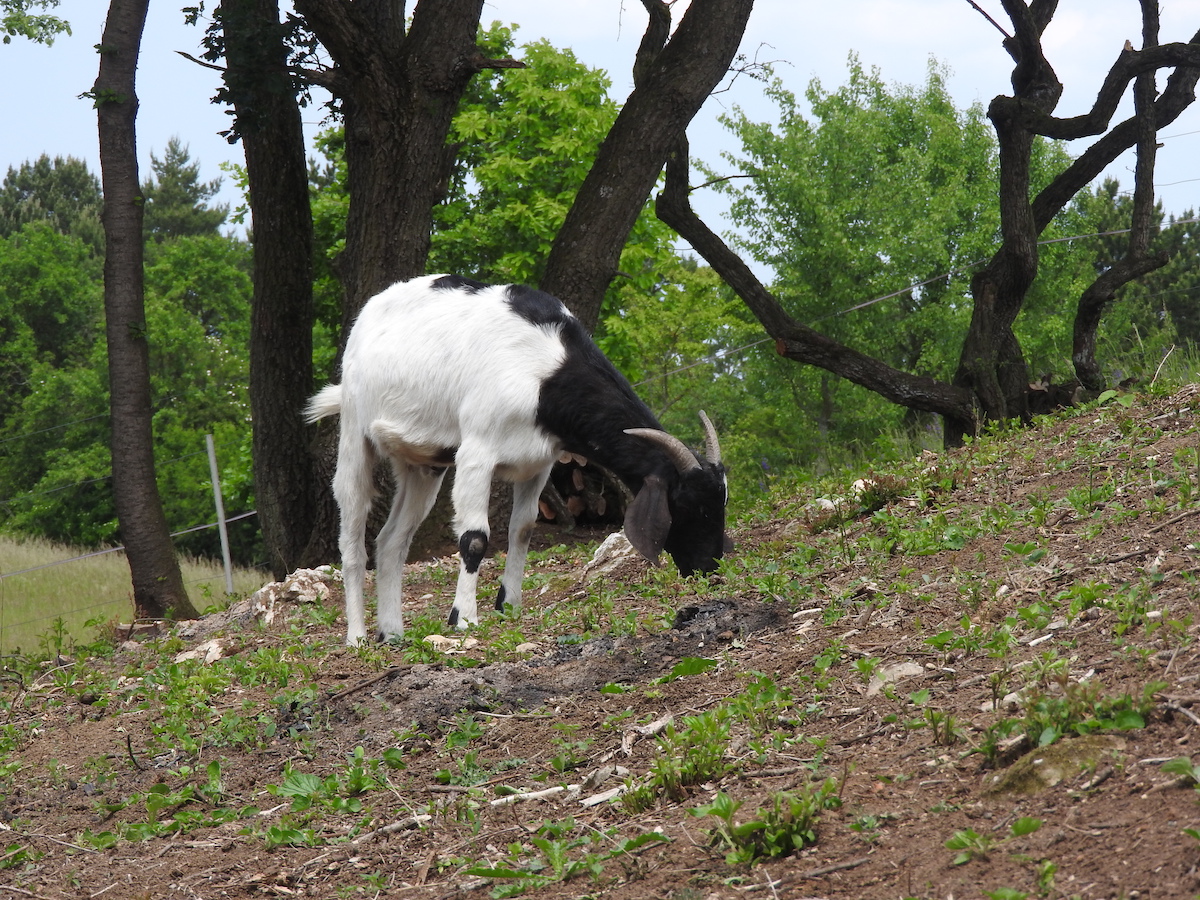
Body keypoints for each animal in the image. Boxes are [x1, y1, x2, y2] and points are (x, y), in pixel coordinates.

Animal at [305, 274, 729, 644]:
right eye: (685, 505)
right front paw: (463, 618)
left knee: (391, 540)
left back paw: (392, 632)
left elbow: (523, 528)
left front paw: (509, 604)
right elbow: (475, 538)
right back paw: (357, 636)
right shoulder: (476, 452)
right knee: (353, 541)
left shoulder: (539, 463)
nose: (709, 568)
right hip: (355, 434)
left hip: (424, 463)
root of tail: (370, 311)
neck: (544, 372)